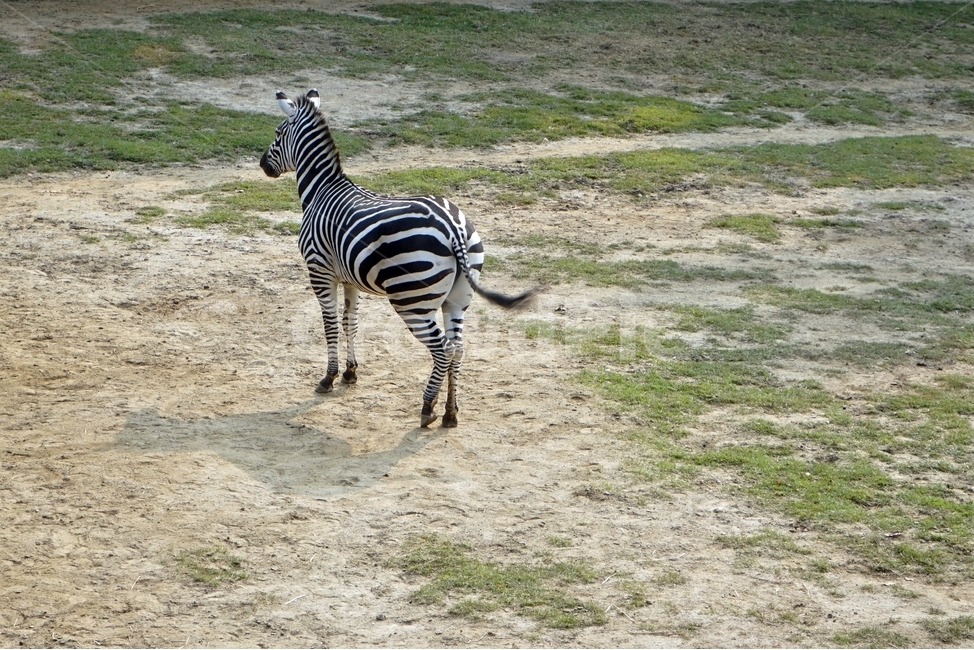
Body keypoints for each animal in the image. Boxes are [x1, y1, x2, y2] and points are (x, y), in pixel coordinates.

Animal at [260, 89, 537, 428]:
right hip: (458, 297)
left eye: (277, 133)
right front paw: (351, 372)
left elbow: (330, 324)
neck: (321, 191)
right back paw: (450, 412)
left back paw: (428, 407)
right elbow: (350, 322)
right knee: (457, 348)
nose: (262, 165)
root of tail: (453, 226)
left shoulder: (319, 271)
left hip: (411, 299)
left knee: (443, 349)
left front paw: (329, 377)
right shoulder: (348, 278)